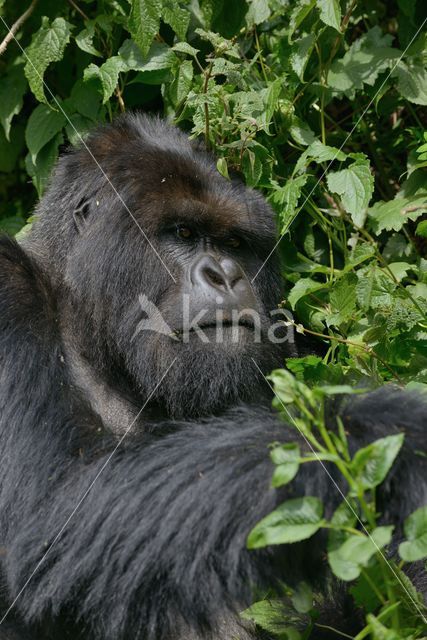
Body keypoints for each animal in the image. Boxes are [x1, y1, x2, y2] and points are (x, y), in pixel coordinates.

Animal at [0, 115, 426, 640]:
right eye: (183, 232)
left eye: (233, 244)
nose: (225, 275)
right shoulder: (8, 290)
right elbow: (49, 506)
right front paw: (384, 433)